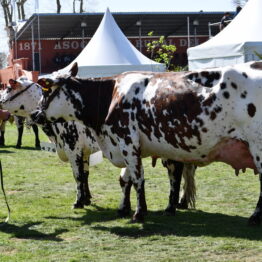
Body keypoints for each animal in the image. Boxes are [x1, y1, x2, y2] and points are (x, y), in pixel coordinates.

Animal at [0, 74, 196, 216]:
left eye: (8, 88)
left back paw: (171, 206)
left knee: (175, 173)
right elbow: (85, 174)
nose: (0, 102)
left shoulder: (72, 147)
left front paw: (78, 202)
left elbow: (78, 175)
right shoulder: (84, 151)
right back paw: (180, 202)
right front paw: (87, 198)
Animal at [31, 60, 262, 224]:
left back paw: (255, 217)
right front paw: (123, 208)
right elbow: (126, 179)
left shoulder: (126, 143)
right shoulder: (127, 146)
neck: (110, 97)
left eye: (45, 91)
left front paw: (139, 213)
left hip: (257, 145)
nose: (35, 114)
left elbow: (137, 179)